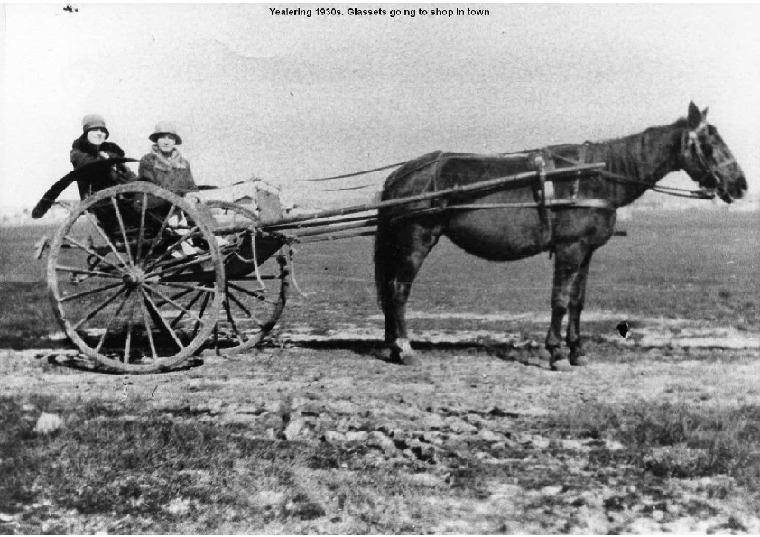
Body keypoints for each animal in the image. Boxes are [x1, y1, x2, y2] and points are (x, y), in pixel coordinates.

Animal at [374, 101, 748, 368]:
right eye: (710, 143)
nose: (741, 184)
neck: (596, 177)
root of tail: (401, 175)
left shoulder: (586, 251)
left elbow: (578, 302)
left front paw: (576, 350)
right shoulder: (570, 248)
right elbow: (560, 300)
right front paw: (555, 353)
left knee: (391, 291)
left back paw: (391, 346)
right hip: (416, 239)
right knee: (398, 290)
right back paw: (404, 348)